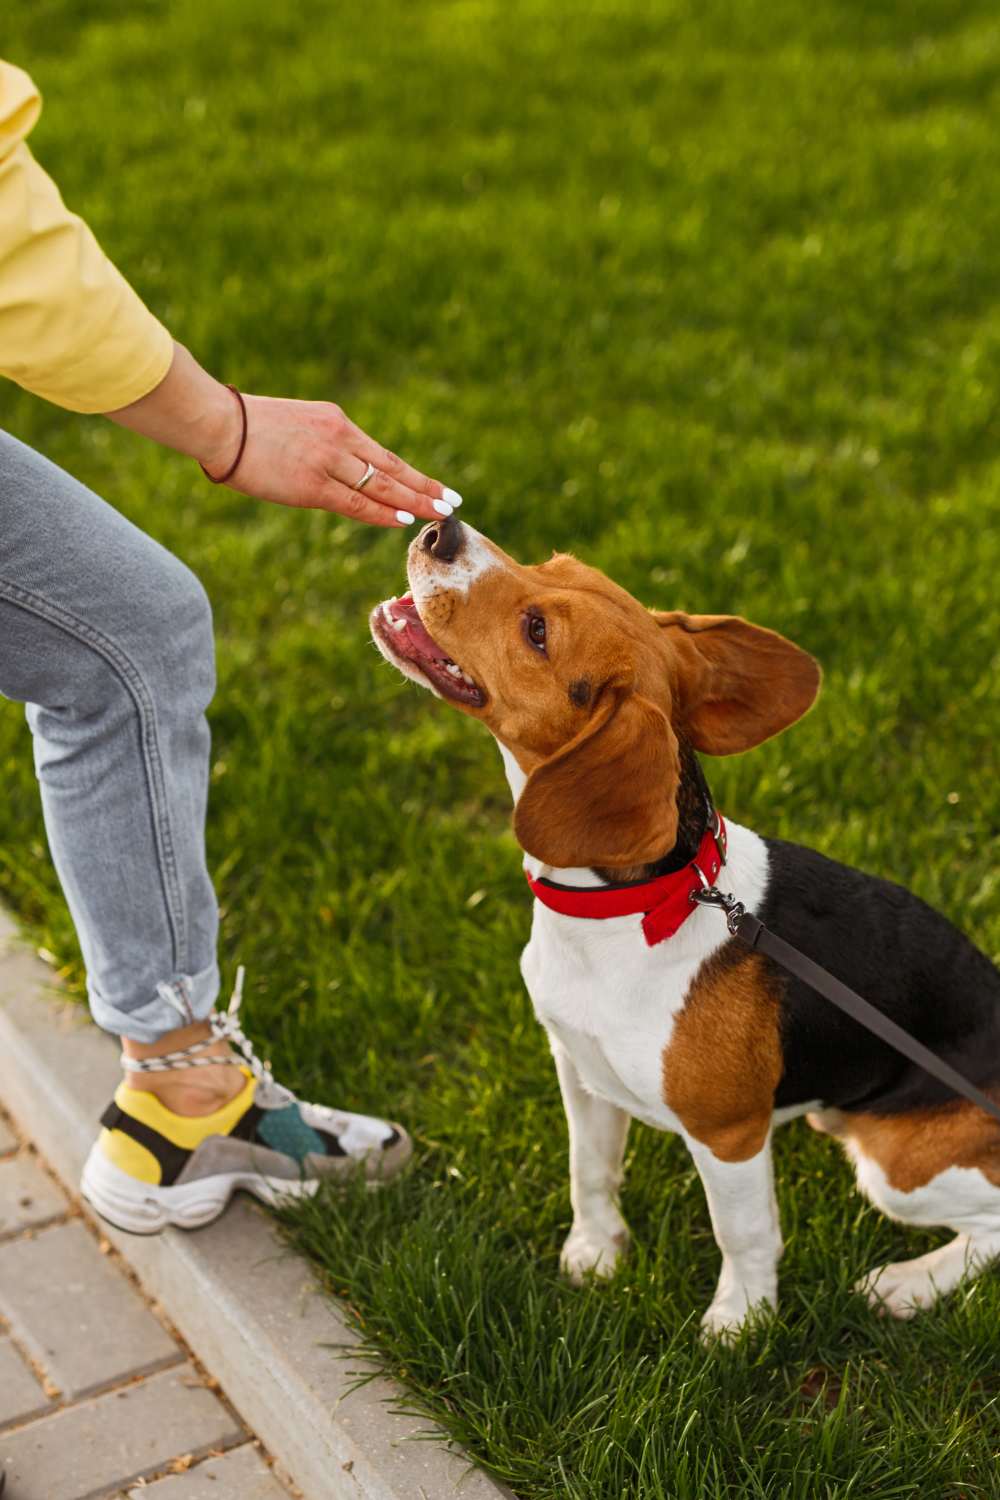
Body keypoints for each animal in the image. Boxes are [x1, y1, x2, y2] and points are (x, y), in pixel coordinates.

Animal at [371, 519, 1000, 1338]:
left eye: (537, 631)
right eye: (549, 562)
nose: (441, 529)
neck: (636, 909)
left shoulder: (727, 1135)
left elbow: (745, 1232)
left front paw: (740, 1322)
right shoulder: (579, 1070)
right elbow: (589, 1170)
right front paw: (596, 1252)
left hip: (899, 1167)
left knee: (989, 1224)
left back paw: (907, 1285)